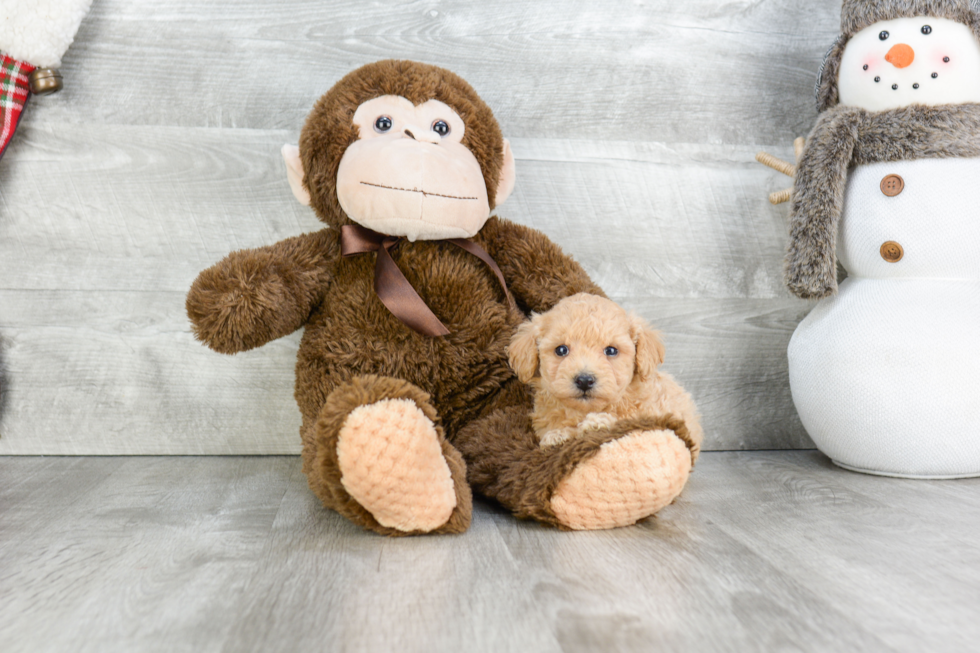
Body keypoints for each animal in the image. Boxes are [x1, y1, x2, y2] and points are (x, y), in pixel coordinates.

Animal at [510, 292, 700, 456]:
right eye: (561, 350)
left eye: (611, 350)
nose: (584, 380)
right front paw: (557, 435)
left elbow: (623, 420)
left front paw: (597, 422)